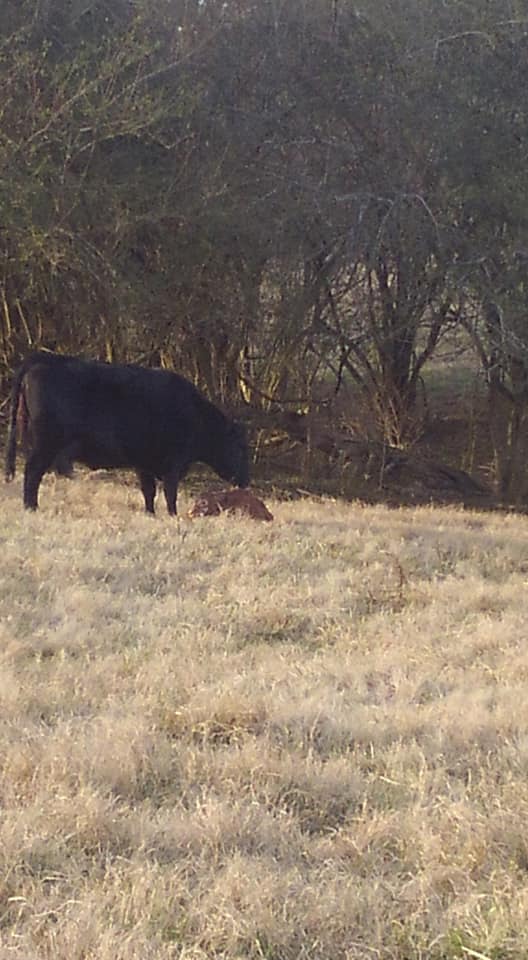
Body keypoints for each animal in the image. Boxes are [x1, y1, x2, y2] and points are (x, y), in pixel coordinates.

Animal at [5, 351, 250, 514]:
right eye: (240, 448)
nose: (246, 481)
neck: (195, 414)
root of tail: (45, 358)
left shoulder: (144, 463)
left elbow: (149, 491)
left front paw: (150, 514)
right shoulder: (174, 462)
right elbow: (170, 492)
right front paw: (173, 515)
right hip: (47, 442)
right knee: (32, 471)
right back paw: (31, 507)